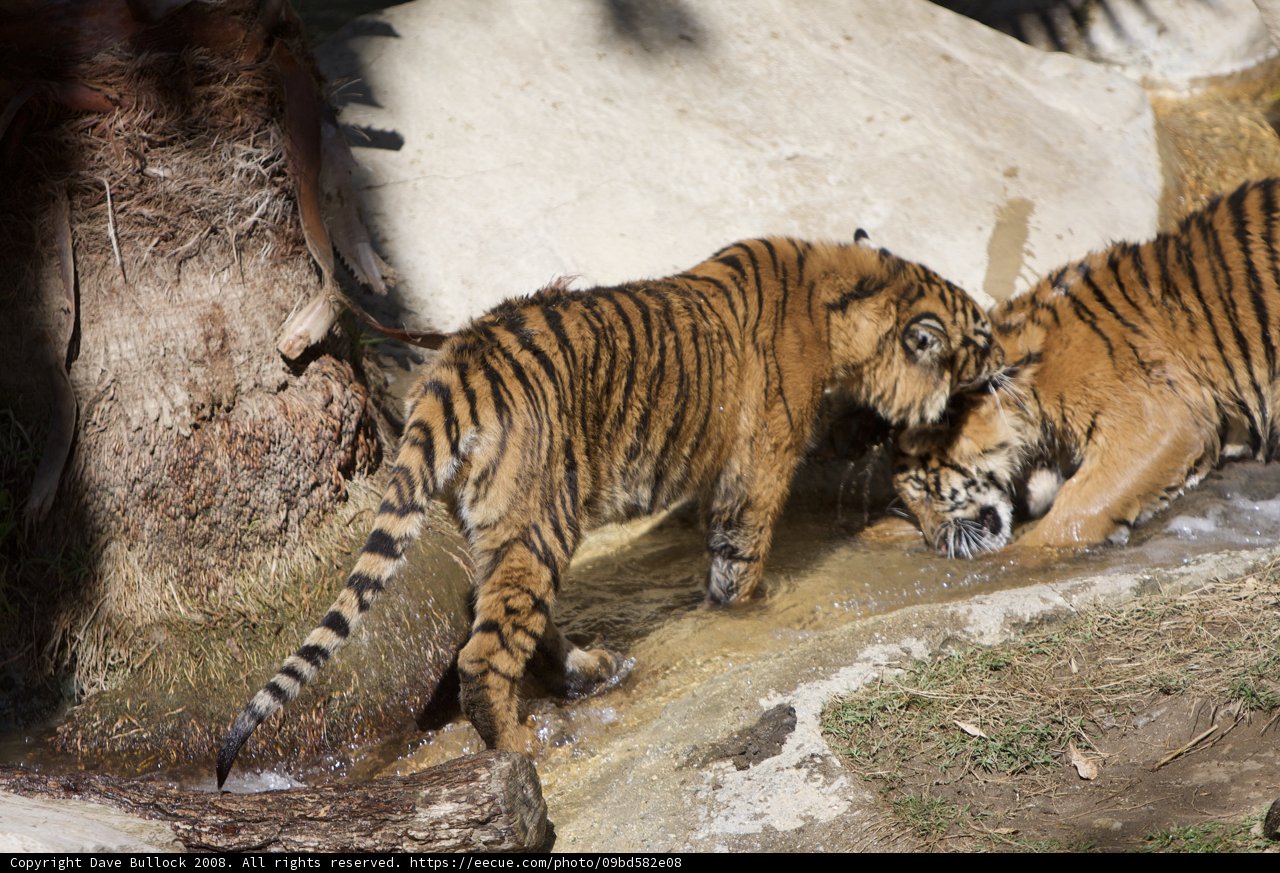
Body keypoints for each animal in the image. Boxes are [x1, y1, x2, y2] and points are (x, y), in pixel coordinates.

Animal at [216, 235, 1002, 787]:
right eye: (981, 343)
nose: (1005, 369)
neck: (848, 294)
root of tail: (457, 364)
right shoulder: (759, 469)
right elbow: (741, 562)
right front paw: (757, 606)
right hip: (542, 521)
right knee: (485, 655)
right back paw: (524, 748)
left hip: (500, 528)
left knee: (506, 616)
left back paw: (591, 669)